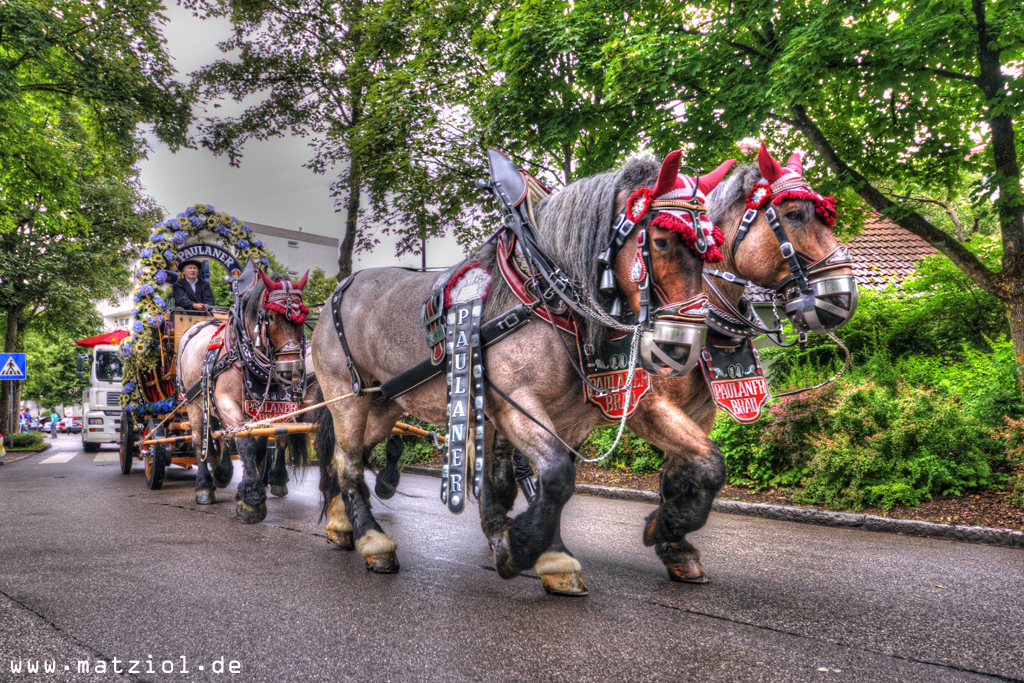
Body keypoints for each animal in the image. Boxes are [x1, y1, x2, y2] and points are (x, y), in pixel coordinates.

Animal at [178, 266, 309, 524]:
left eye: (301, 319)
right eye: (271, 317)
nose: (292, 370)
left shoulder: (268, 408)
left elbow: (264, 443)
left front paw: (259, 486)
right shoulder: (227, 402)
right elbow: (245, 442)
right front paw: (252, 500)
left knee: (219, 435)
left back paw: (222, 472)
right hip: (194, 403)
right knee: (199, 440)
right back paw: (204, 486)